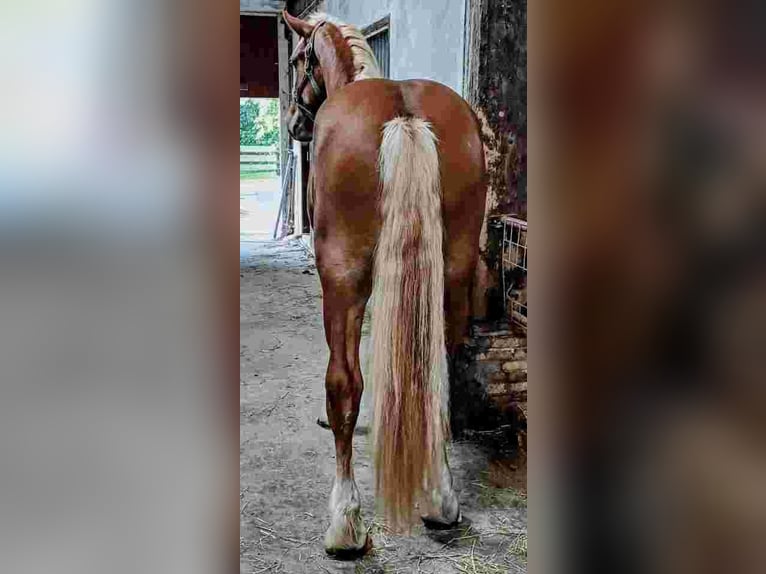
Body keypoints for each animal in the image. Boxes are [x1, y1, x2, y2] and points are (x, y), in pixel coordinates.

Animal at [284, 10, 488, 560]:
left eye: (298, 60)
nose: (294, 124)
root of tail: (405, 117)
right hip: (454, 270)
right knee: (440, 371)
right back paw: (440, 499)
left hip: (343, 277)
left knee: (344, 384)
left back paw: (345, 524)